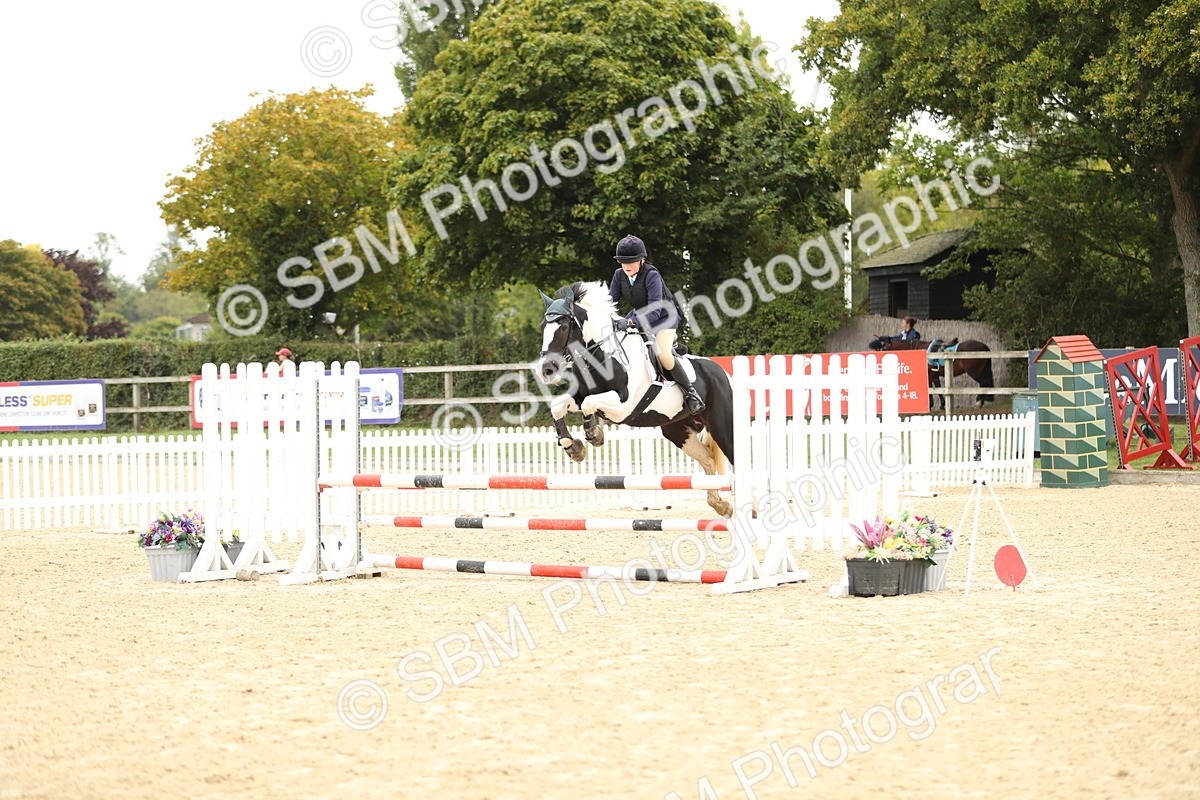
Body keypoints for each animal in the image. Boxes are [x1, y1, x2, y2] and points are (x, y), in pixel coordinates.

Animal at [533, 281, 736, 517]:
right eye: (542, 327)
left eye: (564, 327)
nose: (546, 370)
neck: (602, 356)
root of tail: (723, 372)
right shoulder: (580, 396)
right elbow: (559, 406)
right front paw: (573, 447)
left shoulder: (623, 405)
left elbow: (589, 404)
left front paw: (594, 434)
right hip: (677, 430)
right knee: (708, 460)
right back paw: (720, 505)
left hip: (723, 426)